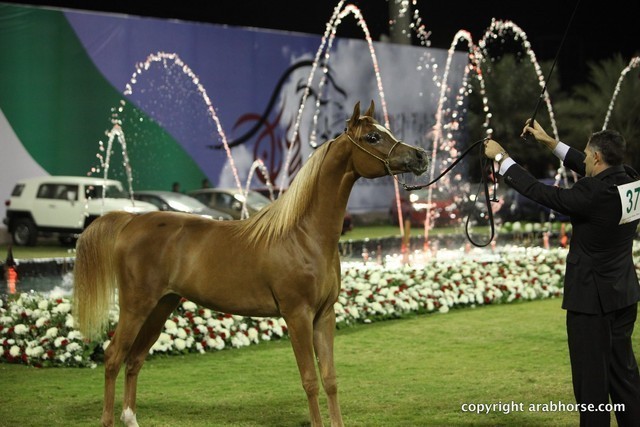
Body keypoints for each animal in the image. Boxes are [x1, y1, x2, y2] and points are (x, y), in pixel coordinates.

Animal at [72, 100, 429, 427]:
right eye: (372, 137)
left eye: (386, 131)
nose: (420, 156)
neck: (303, 235)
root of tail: (131, 221)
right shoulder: (297, 315)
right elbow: (310, 381)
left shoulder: (324, 316)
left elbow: (330, 379)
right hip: (136, 306)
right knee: (113, 357)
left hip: (161, 306)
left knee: (134, 359)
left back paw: (130, 418)